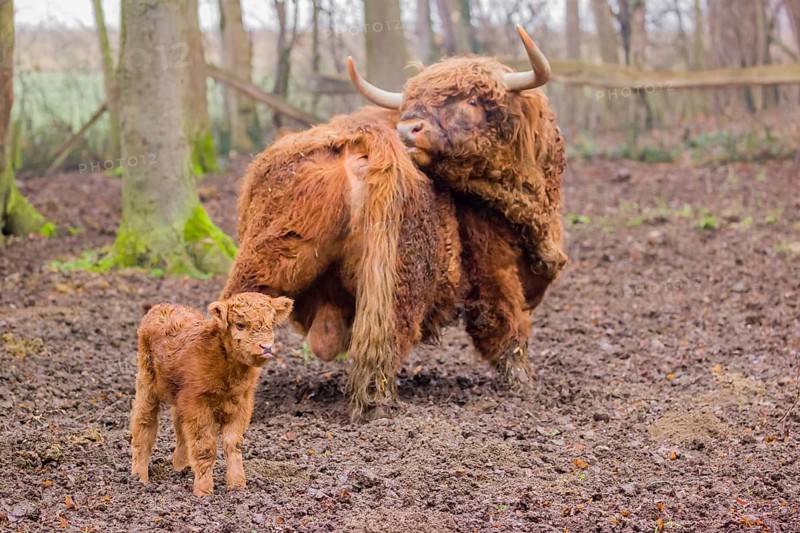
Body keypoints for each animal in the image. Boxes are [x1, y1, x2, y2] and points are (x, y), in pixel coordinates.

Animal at [347, 26, 567, 383]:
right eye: (411, 103)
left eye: (473, 100)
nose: (407, 129)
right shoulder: (489, 260)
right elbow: (503, 317)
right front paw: (521, 379)